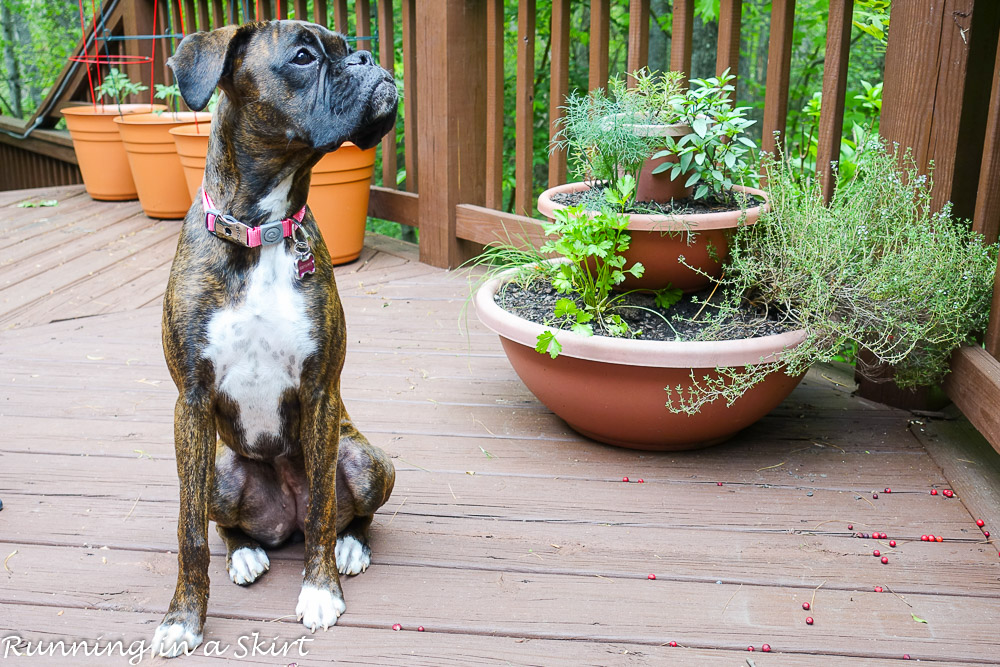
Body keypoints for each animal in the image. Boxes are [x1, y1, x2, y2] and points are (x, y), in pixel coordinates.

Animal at [152, 19, 394, 656]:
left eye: (344, 47)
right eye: (305, 56)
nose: (367, 57)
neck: (261, 231)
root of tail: (283, 520)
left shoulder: (320, 391)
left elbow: (326, 505)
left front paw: (321, 591)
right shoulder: (190, 402)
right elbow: (189, 531)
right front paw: (182, 619)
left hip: (366, 459)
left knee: (336, 514)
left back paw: (348, 546)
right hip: (219, 472)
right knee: (224, 524)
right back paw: (245, 554)